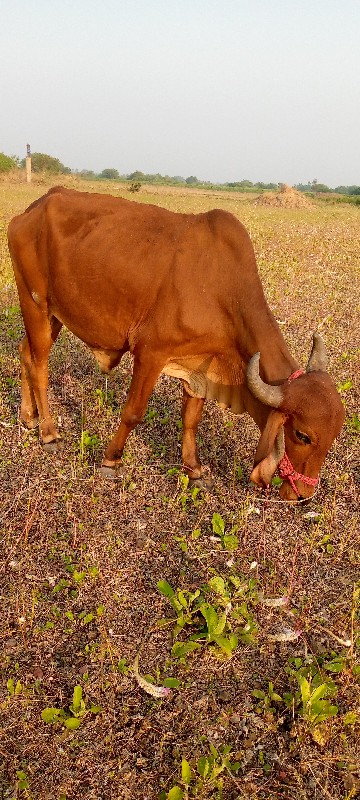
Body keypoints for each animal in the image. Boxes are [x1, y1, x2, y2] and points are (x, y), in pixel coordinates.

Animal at [7, 187, 344, 500]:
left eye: (334, 436)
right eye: (302, 435)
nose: (303, 494)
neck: (223, 292)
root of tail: (34, 207)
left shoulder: (200, 367)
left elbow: (191, 420)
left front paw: (194, 470)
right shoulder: (150, 354)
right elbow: (133, 412)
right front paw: (110, 460)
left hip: (53, 314)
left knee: (25, 352)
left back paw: (28, 417)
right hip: (34, 302)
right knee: (39, 365)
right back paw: (48, 433)